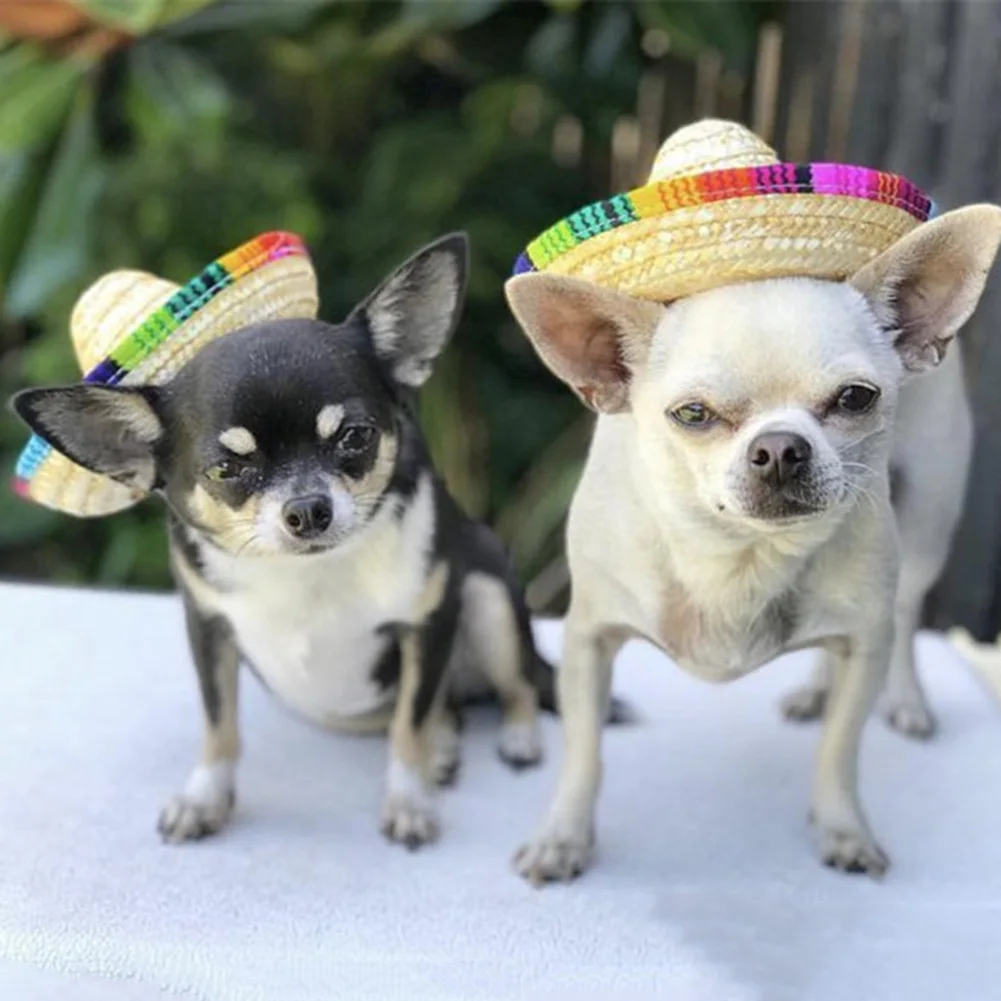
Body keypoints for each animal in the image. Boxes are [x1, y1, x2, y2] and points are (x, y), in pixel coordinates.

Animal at [12, 233, 608, 850]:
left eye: (354, 437)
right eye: (226, 469)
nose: (306, 509)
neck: (303, 574)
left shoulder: (427, 621)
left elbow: (409, 723)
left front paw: (409, 798)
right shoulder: (208, 630)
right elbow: (219, 722)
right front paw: (205, 796)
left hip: (488, 594)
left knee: (509, 685)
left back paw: (515, 737)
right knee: (449, 705)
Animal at [505, 203, 1001, 882]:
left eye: (856, 397)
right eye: (692, 414)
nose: (781, 448)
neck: (740, 557)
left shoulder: (866, 641)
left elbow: (839, 750)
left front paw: (844, 828)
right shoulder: (589, 641)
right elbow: (584, 755)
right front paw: (563, 837)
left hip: (927, 516)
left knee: (905, 614)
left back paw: (905, 700)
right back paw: (817, 690)